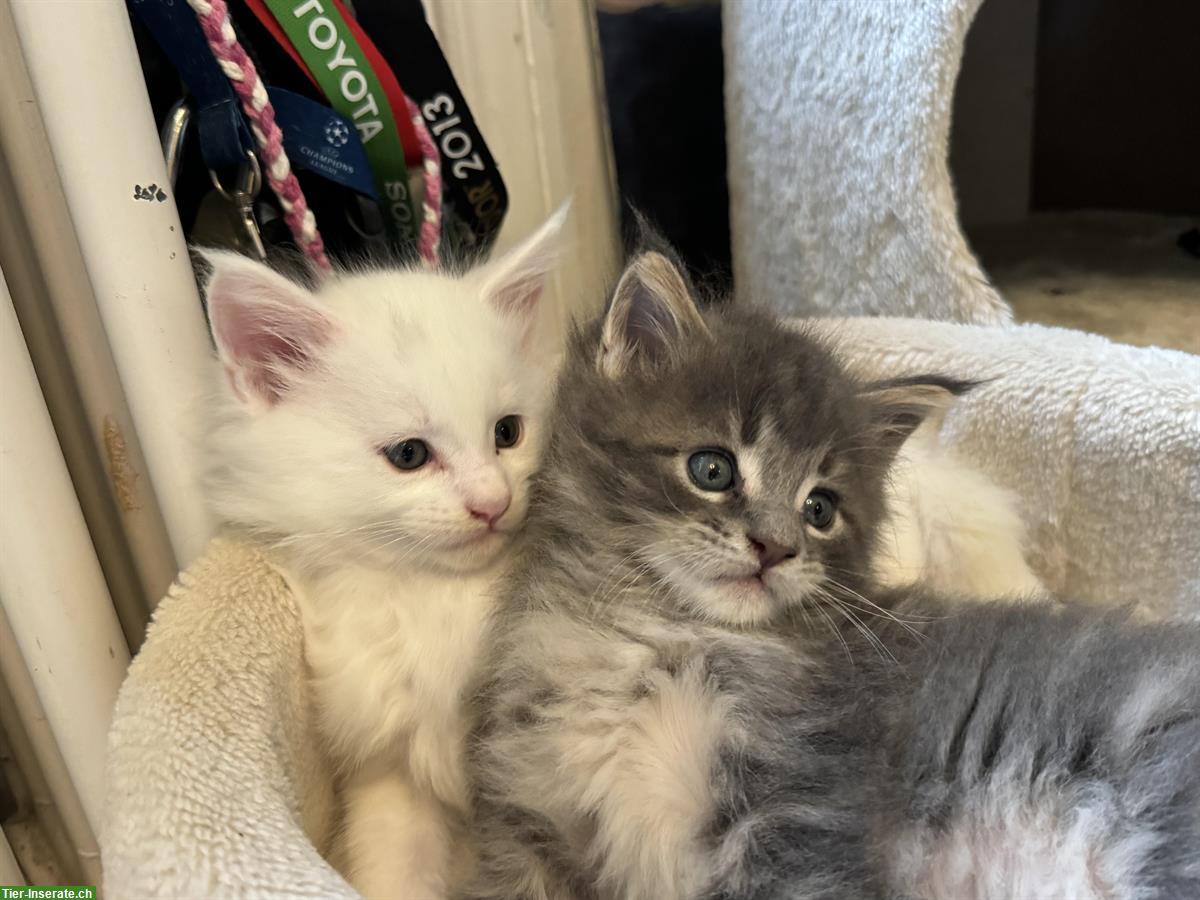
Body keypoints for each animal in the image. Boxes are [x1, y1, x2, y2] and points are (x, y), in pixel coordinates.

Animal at [200, 207, 566, 897]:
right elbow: (395, 870)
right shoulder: (390, 771)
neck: (440, 601)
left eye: (508, 433)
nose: (493, 502)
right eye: (409, 455)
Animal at [460, 248, 1200, 900]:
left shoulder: (800, 807)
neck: (660, 642)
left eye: (819, 509)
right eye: (711, 469)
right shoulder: (532, 818)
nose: (774, 548)